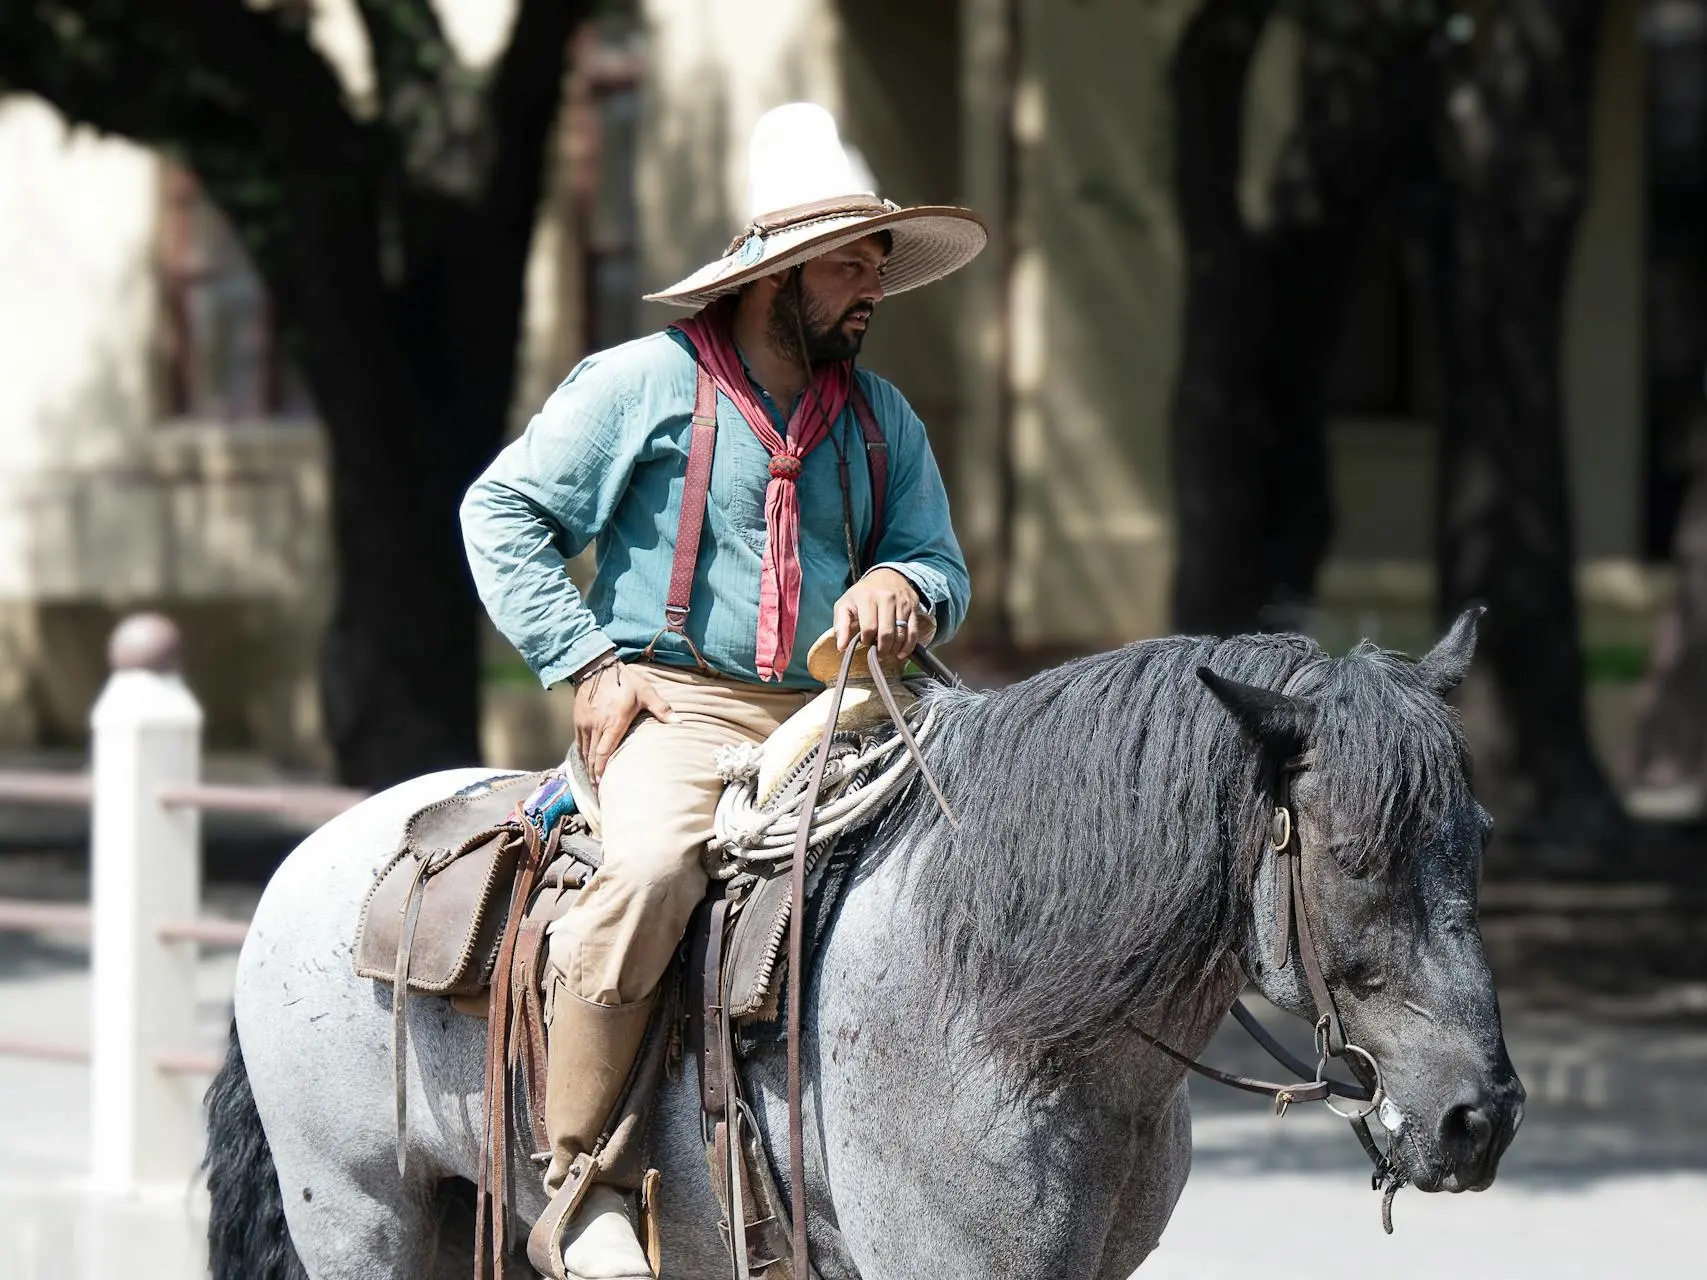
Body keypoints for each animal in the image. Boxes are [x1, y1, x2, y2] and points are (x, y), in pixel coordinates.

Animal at [206, 614, 1529, 1280]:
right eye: (1356, 857)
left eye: (1477, 836)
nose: (1481, 1116)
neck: (998, 996)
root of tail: (316, 854)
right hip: (361, 1216)